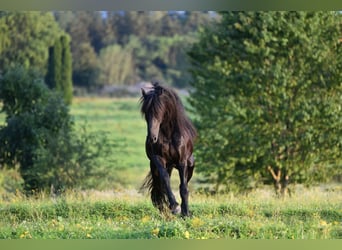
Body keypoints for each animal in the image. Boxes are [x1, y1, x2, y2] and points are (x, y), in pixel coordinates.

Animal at [140, 82, 196, 217]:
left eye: (158, 110)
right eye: (146, 113)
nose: (152, 138)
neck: (169, 135)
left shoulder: (182, 161)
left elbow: (183, 187)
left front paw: (185, 212)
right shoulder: (158, 160)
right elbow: (165, 181)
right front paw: (174, 207)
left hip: (190, 166)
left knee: (185, 183)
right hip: (156, 168)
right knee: (159, 187)